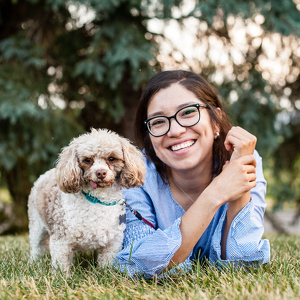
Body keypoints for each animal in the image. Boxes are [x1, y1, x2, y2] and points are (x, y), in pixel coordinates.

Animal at [28, 127, 145, 274]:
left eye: (112, 158)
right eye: (88, 160)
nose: (100, 173)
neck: (97, 200)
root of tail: (45, 174)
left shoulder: (113, 242)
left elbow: (107, 263)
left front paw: (105, 274)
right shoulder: (61, 239)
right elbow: (61, 264)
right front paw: (63, 277)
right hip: (36, 224)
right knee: (36, 246)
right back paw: (34, 262)